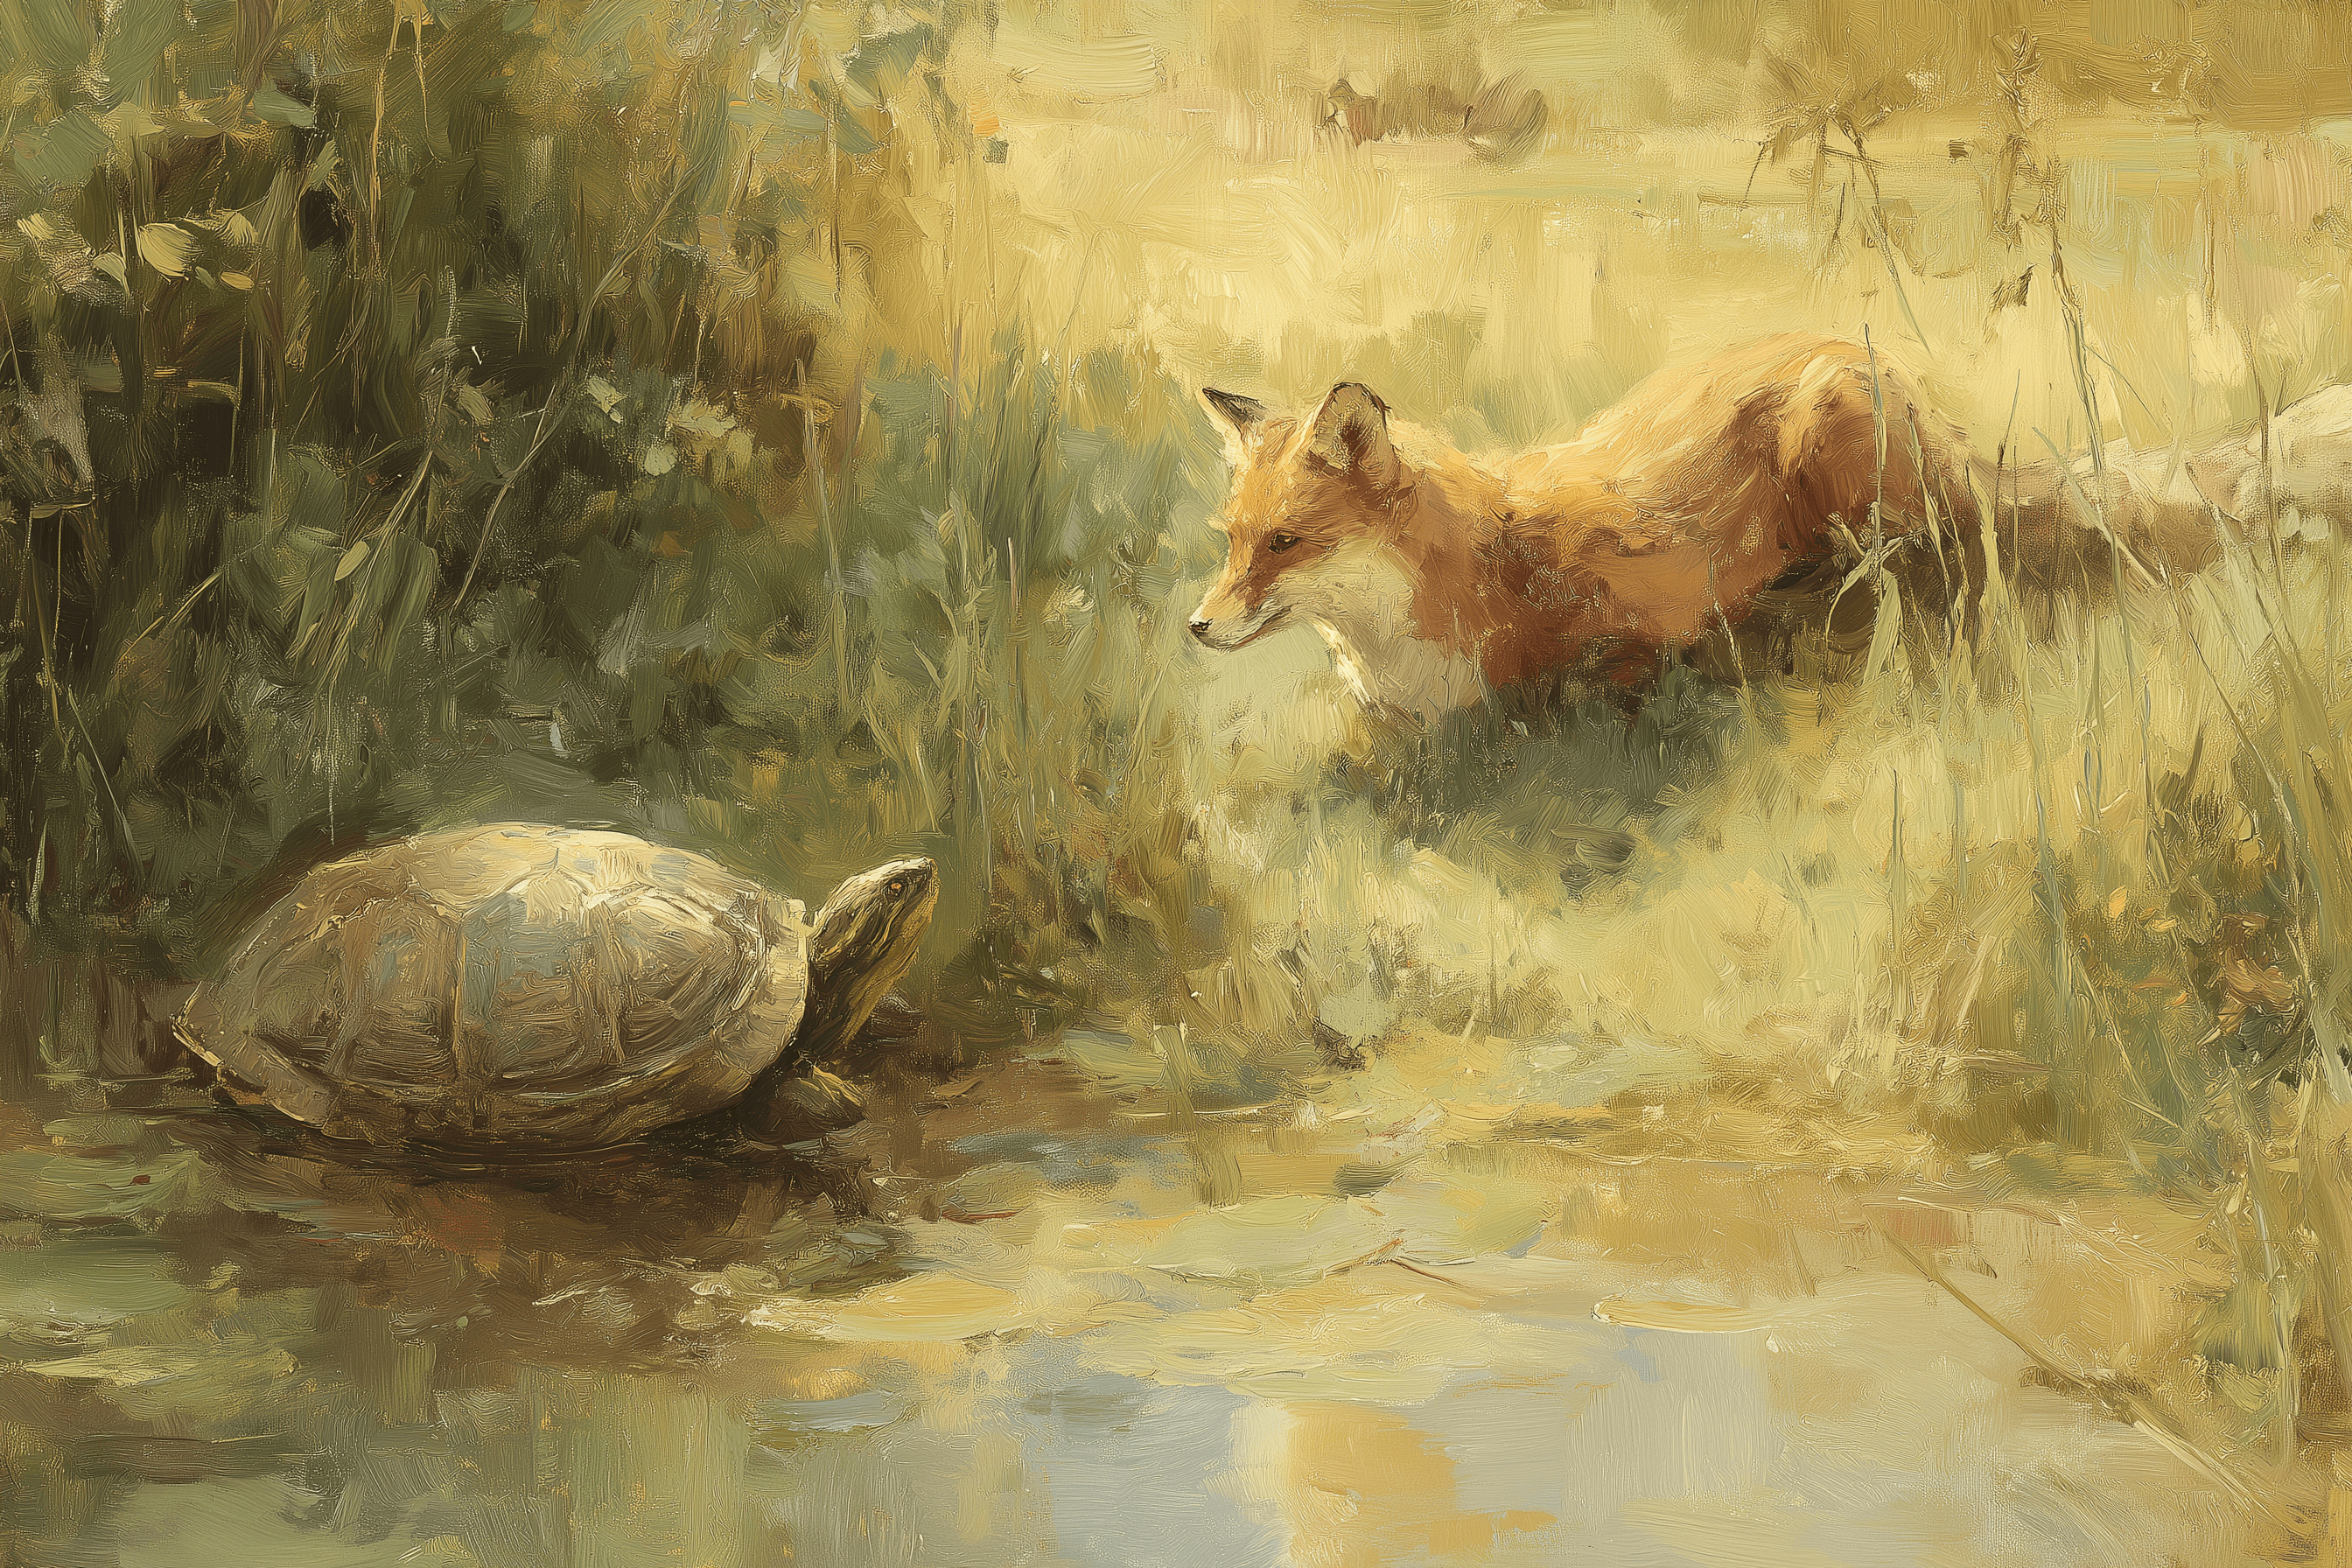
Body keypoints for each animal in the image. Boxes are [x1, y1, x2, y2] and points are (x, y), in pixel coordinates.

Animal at [1188, 332, 2239, 721]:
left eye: (1286, 543)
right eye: (1230, 540)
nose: (1196, 627)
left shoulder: (1642, 617)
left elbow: (1612, 675)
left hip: (1841, 451)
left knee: (1928, 560)